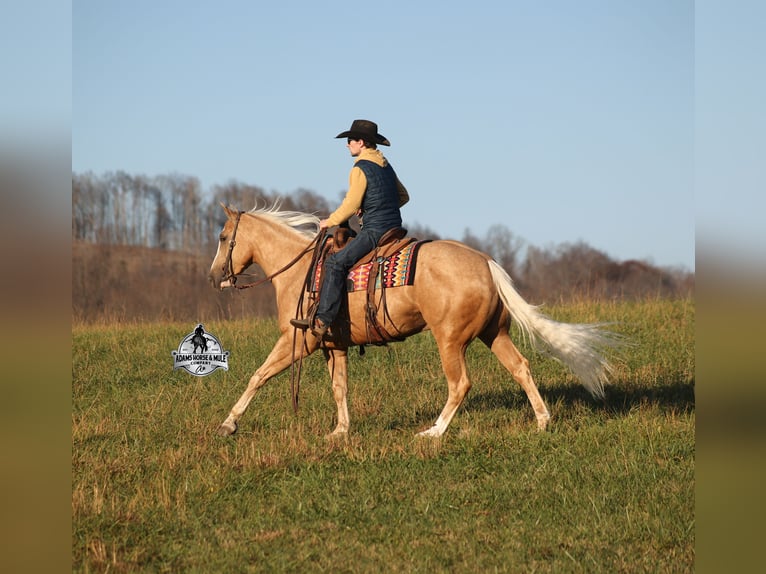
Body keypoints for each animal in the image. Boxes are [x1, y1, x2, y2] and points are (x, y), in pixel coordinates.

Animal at [208, 203, 618, 438]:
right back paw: (542, 421)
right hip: (494, 333)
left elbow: (259, 375)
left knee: (460, 384)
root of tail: (485, 262)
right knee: (520, 367)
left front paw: (229, 423)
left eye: (224, 236)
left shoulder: (300, 341)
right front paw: (340, 432)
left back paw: (434, 432)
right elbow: (339, 388)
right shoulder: (332, 345)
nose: (214, 278)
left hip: (450, 340)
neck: (301, 272)